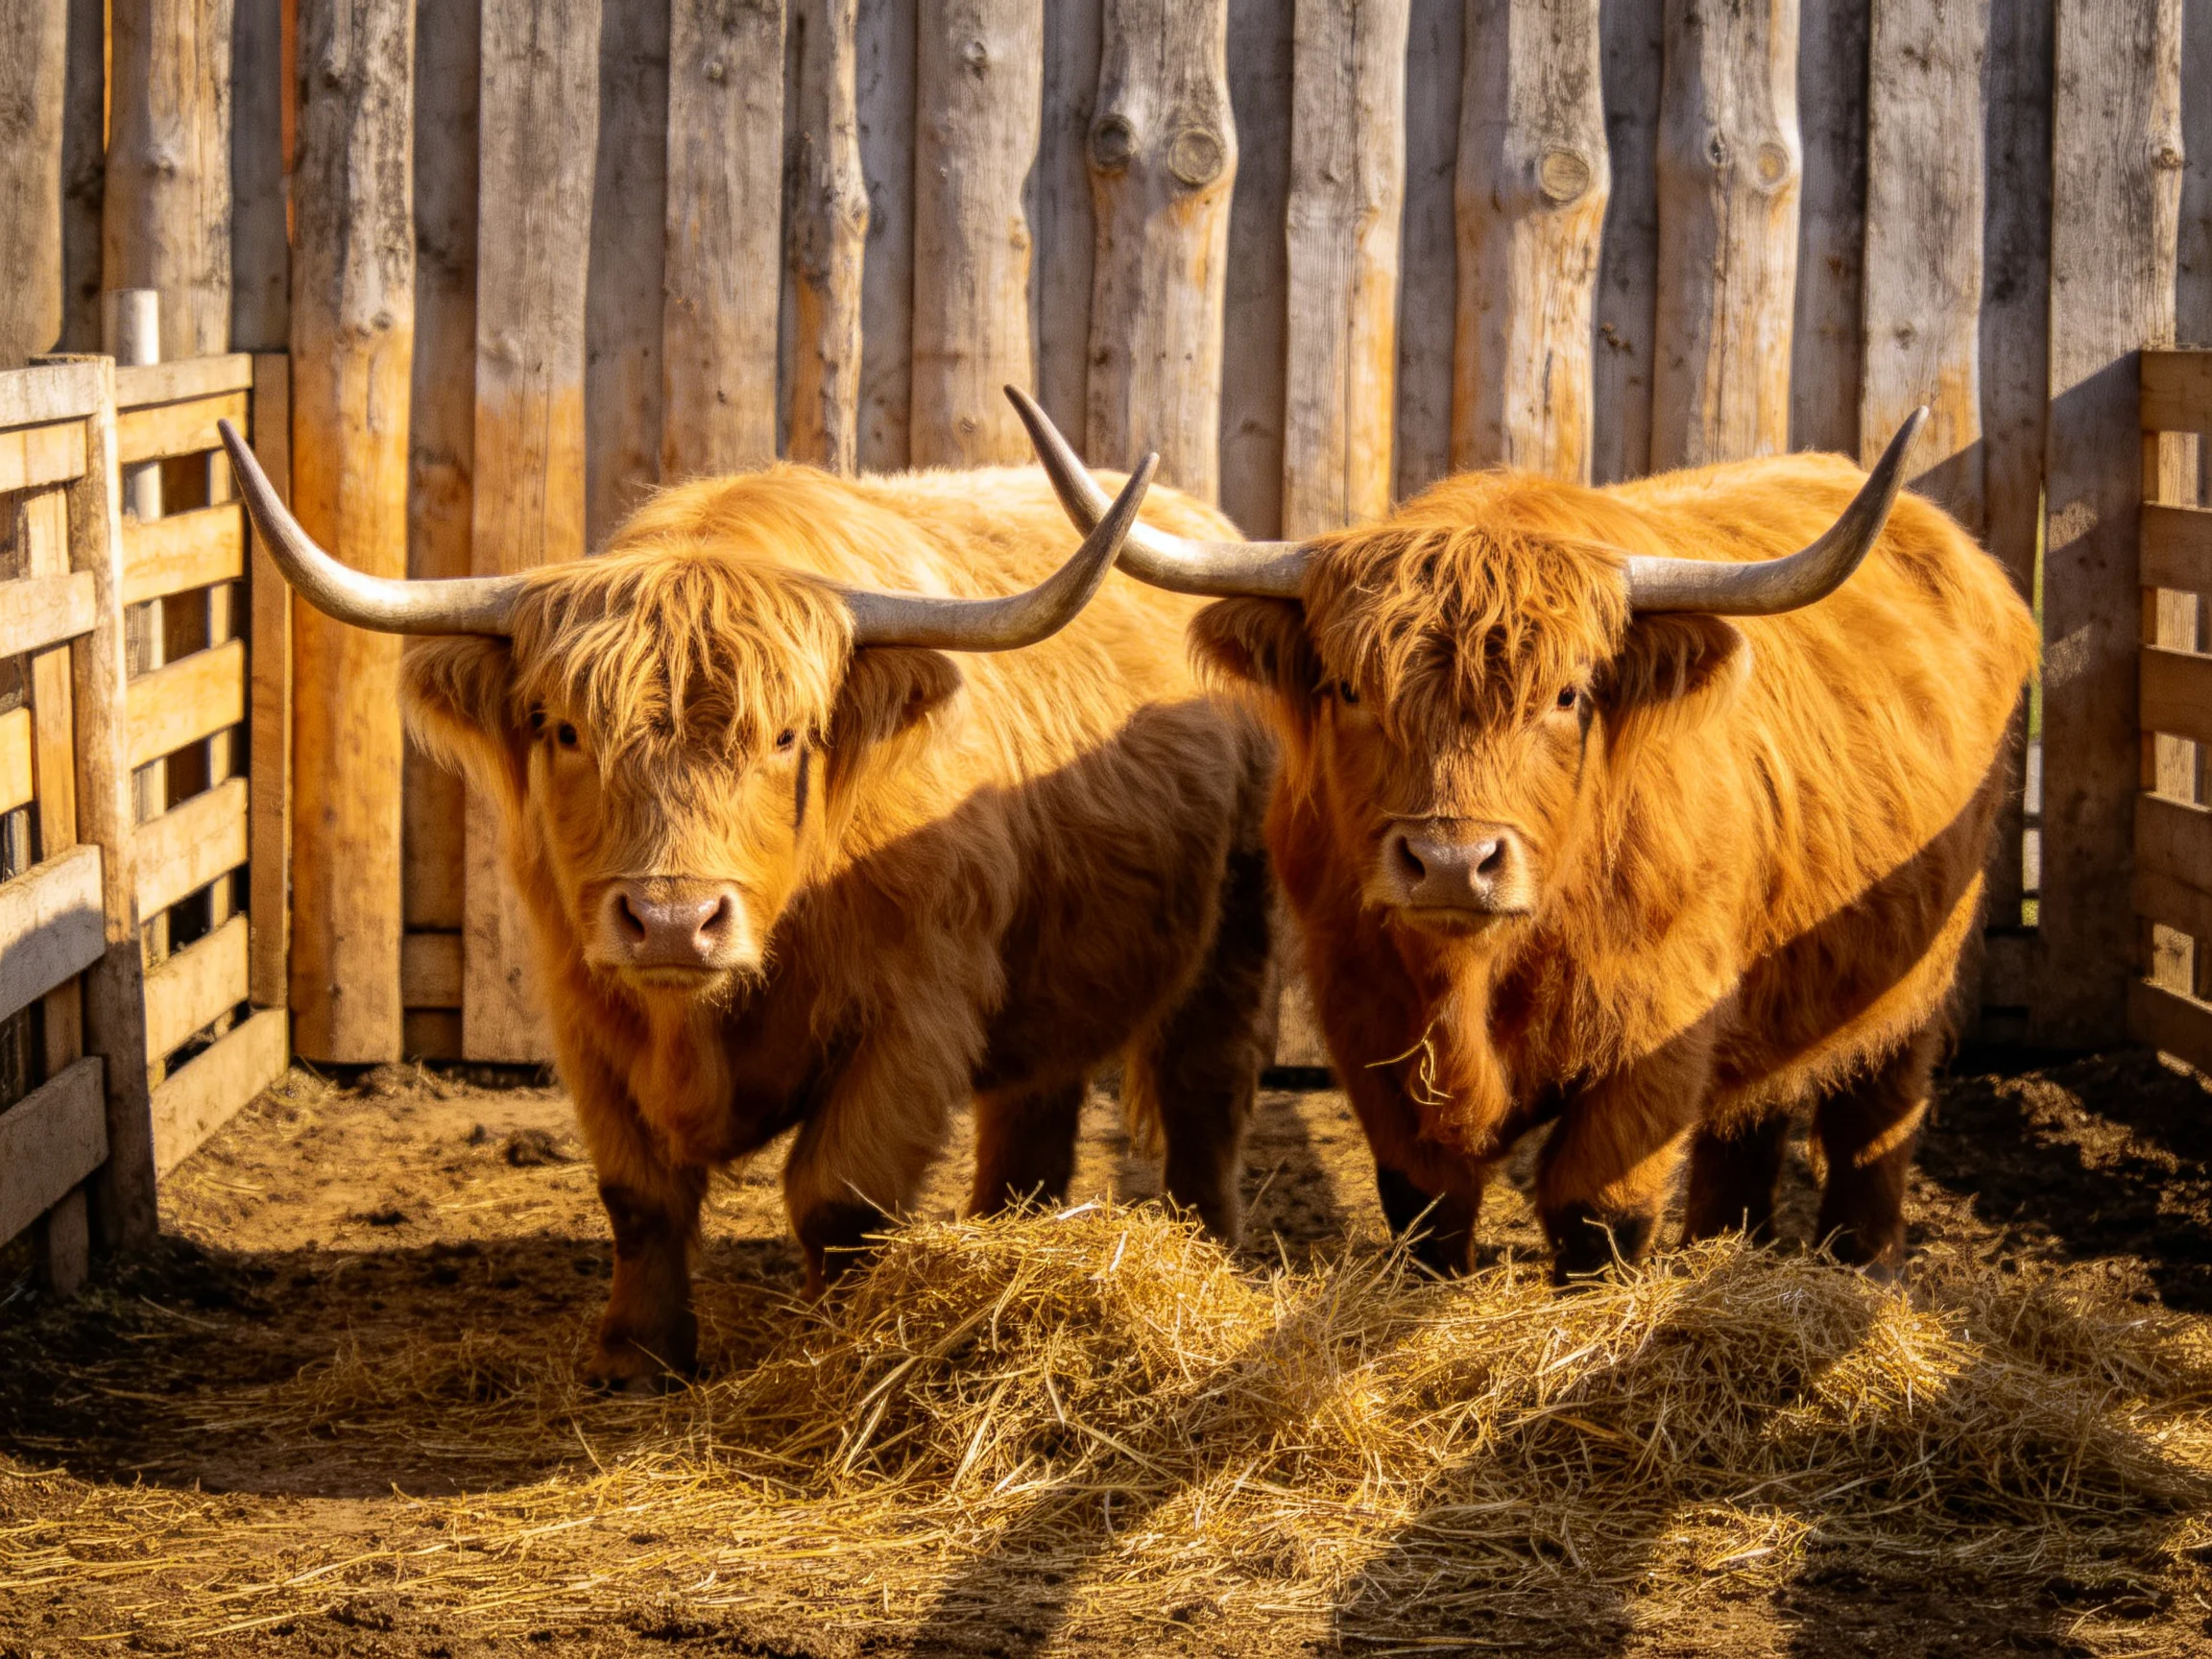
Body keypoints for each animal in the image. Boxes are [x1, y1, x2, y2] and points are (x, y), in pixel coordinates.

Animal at [220, 423, 1276, 1387]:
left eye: (786, 736)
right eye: (563, 730)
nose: (672, 921)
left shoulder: (913, 1014)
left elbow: (839, 1198)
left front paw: (833, 1350)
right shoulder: (582, 1010)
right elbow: (637, 1194)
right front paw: (634, 1357)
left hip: (1236, 928)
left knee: (1203, 1090)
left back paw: (1211, 1253)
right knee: (1033, 1109)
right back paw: (999, 1239)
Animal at [1007, 388, 2039, 1281]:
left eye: (1569, 695)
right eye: (1350, 689)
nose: (1450, 864)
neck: (1479, 979)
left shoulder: (1658, 1028)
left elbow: (1598, 1214)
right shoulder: (1366, 1015)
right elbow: (1424, 1205)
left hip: (1919, 960)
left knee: (1877, 1111)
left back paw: (1862, 1262)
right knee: (1749, 1123)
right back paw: (1726, 1251)